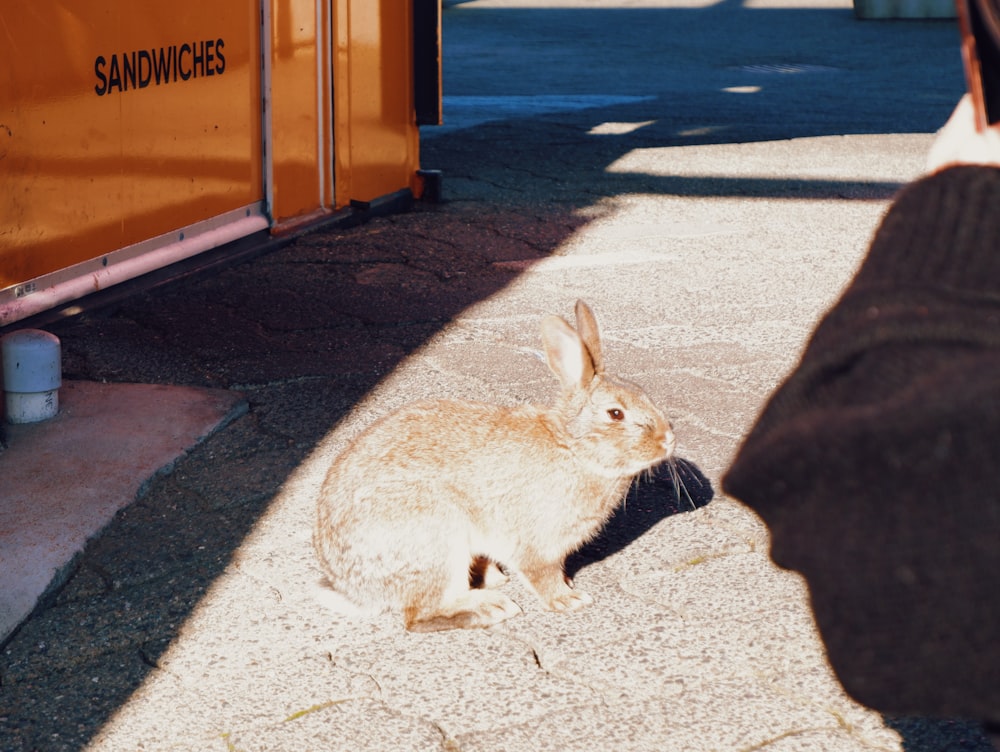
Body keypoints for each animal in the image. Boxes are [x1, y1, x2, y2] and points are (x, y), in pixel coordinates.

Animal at [310, 302, 672, 632]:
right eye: (616, 414)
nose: (669, 439)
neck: (573, 448)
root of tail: (354, 588)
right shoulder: (537, 545)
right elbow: (542, 575)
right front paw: (568, 599)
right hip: (436, 540)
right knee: (418, 617)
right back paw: (490, 608)